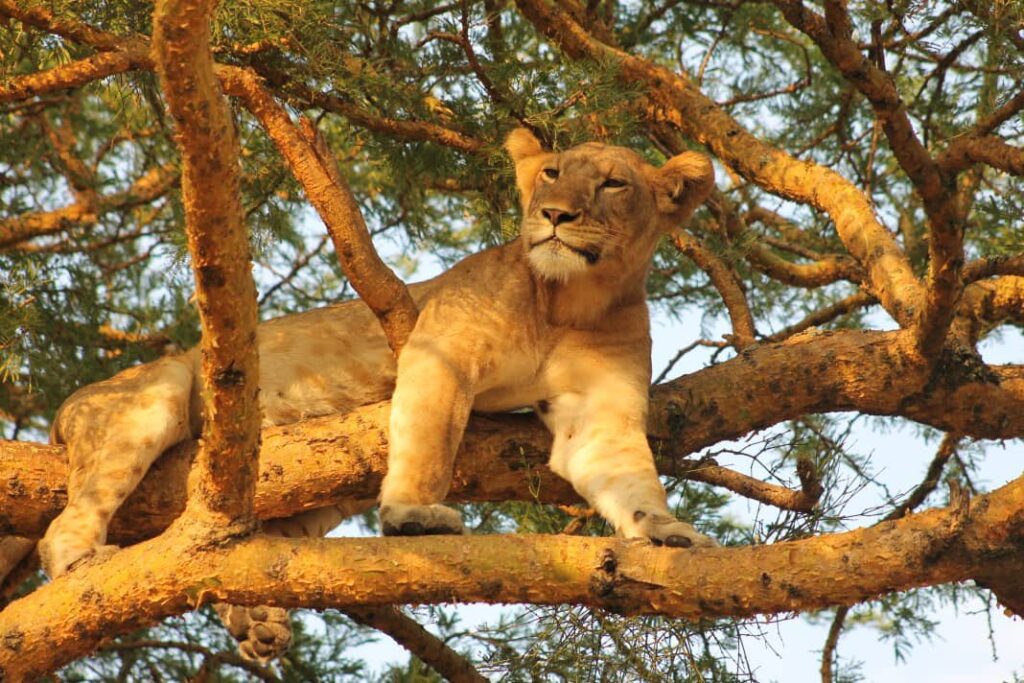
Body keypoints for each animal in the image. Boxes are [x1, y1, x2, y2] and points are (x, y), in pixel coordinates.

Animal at [2, 129, 716, 659]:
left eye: (613, 184)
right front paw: (414, 517)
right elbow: (430, 444)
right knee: (67, 524)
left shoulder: (600, 413)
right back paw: (84, 563)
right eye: (551, 174)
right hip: (155, 393)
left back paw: (255, 618)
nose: (556, 216)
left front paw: (669, 533)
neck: (574, 299)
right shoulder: (441, 351)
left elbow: (627, 475)